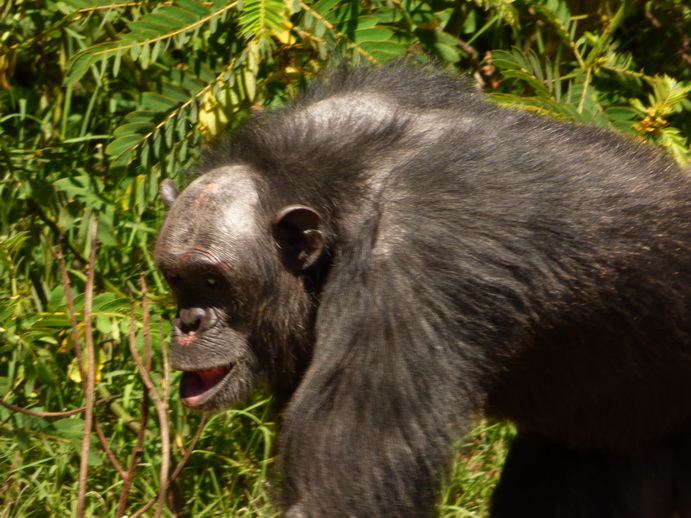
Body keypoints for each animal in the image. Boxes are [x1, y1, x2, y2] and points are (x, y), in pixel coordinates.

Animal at [154, 59, 691, 516]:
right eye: (177, 277)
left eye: (213, 279)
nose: (189, 321)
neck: (342, 199)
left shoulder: (409, 270)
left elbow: (339, 494)